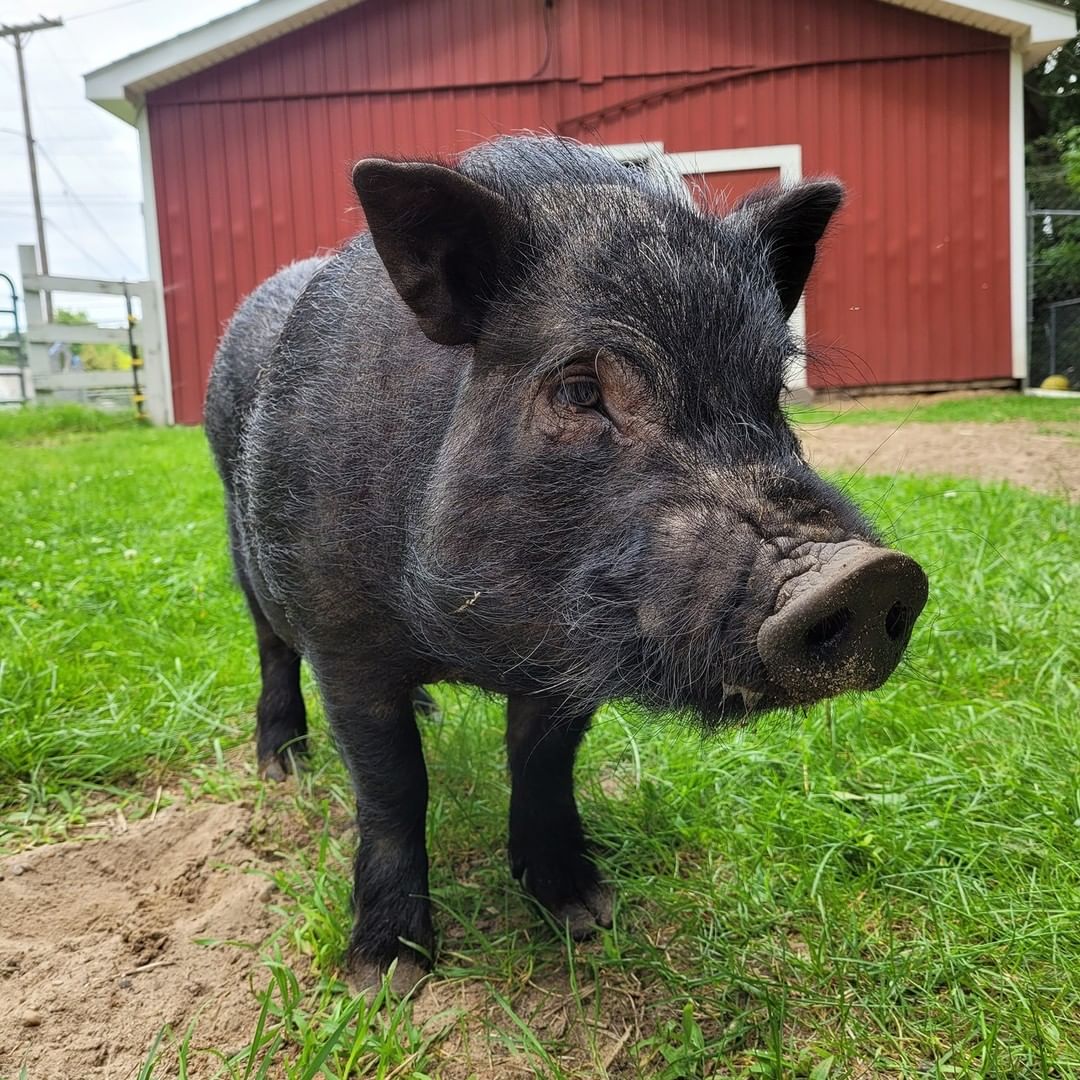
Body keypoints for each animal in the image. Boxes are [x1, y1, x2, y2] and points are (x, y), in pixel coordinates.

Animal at [204, 132, 928, 989]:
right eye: (580, 391)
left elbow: (544, 763)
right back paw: (283, 768)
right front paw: (385, 976)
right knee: (270, 648)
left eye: (772, 394)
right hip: (244, 549)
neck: (474, 645)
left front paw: (585, 915)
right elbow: (392, 786)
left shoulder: (577, 645)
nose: (863, 574)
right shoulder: (343, 635)